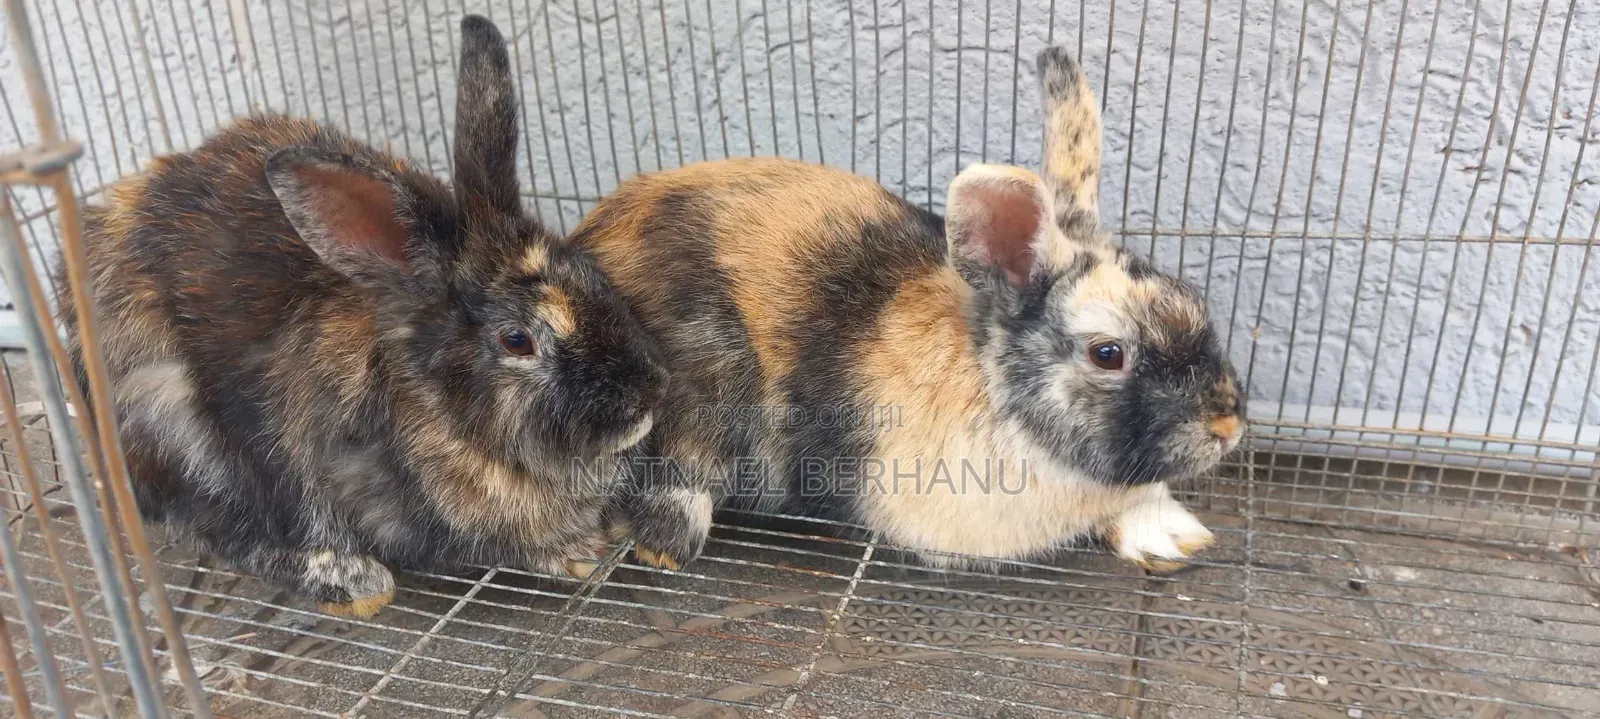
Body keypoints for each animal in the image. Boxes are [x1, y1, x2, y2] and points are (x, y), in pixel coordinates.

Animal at [55, 15, 667, 618]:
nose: (650, 394)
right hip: (174, 423)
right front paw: (574, 553)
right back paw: (351, 581)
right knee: (218, 531)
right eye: (517, 339)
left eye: (590, 272)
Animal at [572, 46, 1244, 572]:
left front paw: (1175, 538)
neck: (992, 387)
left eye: (1191, 298)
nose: (1228, 426)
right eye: (1108, 354)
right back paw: (664, 545)